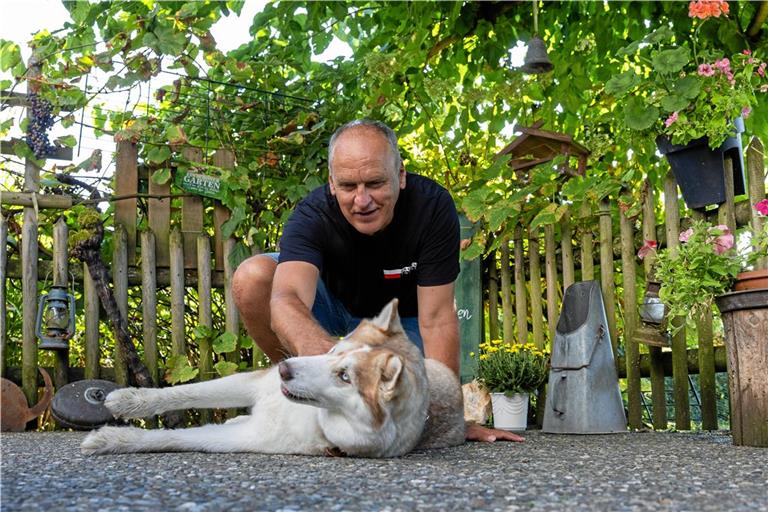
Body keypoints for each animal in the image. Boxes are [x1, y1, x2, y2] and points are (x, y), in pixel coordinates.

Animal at [85, 298, 468, 458]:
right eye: (334, 350)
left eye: (344, 377)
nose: (285, 369)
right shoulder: (255, 382)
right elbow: (187, 392)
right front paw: (130, 400)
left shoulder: (248, 437)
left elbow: (175, 438)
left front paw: (114, 439)